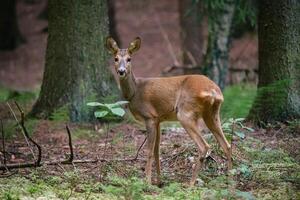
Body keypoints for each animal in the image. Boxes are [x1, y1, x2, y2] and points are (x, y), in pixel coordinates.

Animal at [105, 36, 232, 186]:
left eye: (129, 59)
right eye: (116, 58)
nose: (121, 71)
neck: (134, 92)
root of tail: (213, 90)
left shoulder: (149, 117)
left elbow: (149, 151)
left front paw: (147, 181)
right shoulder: (158, 119)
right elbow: (157, 150)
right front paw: (159, 181)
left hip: (185, 113)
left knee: (204, 146)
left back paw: (190, 184)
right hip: (212, 113)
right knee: (227, 145)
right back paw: (230, 180)